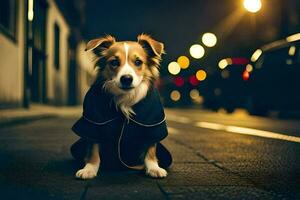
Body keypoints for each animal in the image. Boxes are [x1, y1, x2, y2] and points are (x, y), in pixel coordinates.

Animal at [70, 34, 172, 180]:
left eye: (138, 62)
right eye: (114, 62)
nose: (127, 78)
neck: (126, 97)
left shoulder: (152, 124)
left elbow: (151, 147)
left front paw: (153, 167)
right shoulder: (94, 123)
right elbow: (93, 149)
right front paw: (89, 168)